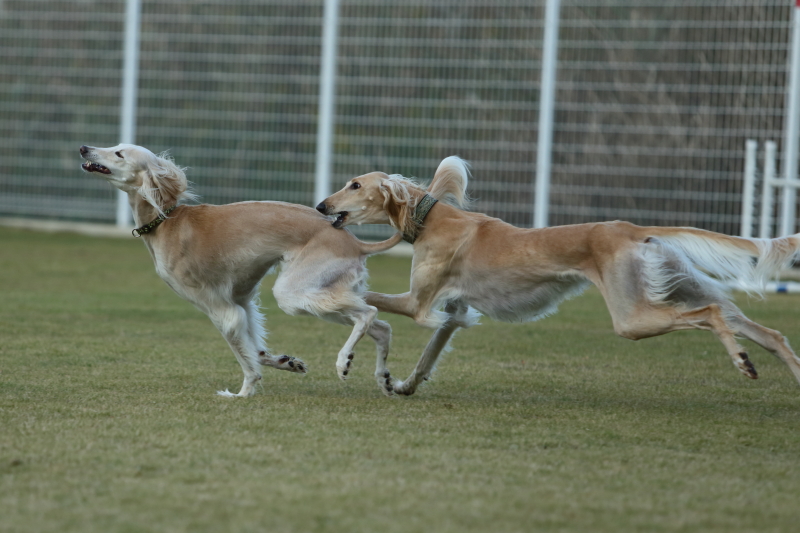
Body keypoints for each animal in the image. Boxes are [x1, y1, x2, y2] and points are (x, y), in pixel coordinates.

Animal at [79, 143, 400, 396]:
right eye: (115, 145)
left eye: (119, 153)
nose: (83, 149)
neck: (166, 221)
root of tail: (355, 241)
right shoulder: (242, 301)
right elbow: (256, 349)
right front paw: (285, 362)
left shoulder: (221, 308)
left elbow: (245, 357)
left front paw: (243, 392)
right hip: (325, 288)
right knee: (381, 327)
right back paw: (384, 379)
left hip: (295, 291)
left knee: (369, 313)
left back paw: (344, 361)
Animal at [318, 155, 800, 394]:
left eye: (355, 185)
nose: (322, 205)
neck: (433, 218)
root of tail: (630, 229)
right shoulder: (454, 313)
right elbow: (426, 359)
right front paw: (401, 385)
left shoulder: (419, 305)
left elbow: (369, 303)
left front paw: (345, 356)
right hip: (680, 287)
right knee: (767, 331)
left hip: (633, 315)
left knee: (713, 316)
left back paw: (741, 361)